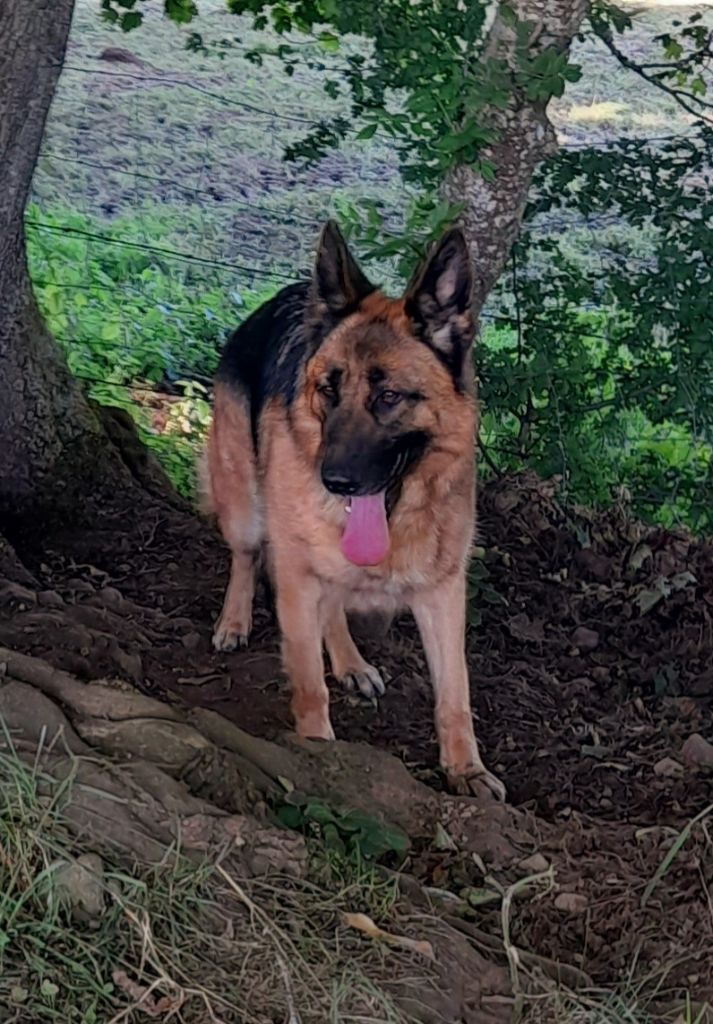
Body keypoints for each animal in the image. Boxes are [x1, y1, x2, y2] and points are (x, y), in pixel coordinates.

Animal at [198, 224, 506, 798]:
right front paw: (319, 753)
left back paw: (350, 661)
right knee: (246, 556)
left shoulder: (443, 591)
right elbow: (307, 681)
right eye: (328, 389)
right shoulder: (298, 576)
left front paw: (466, 769)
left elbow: (455, 693)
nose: (333, 479)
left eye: (389, 397)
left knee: (333, 603)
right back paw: (234, 620)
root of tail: (291, 291)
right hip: (245, 505)